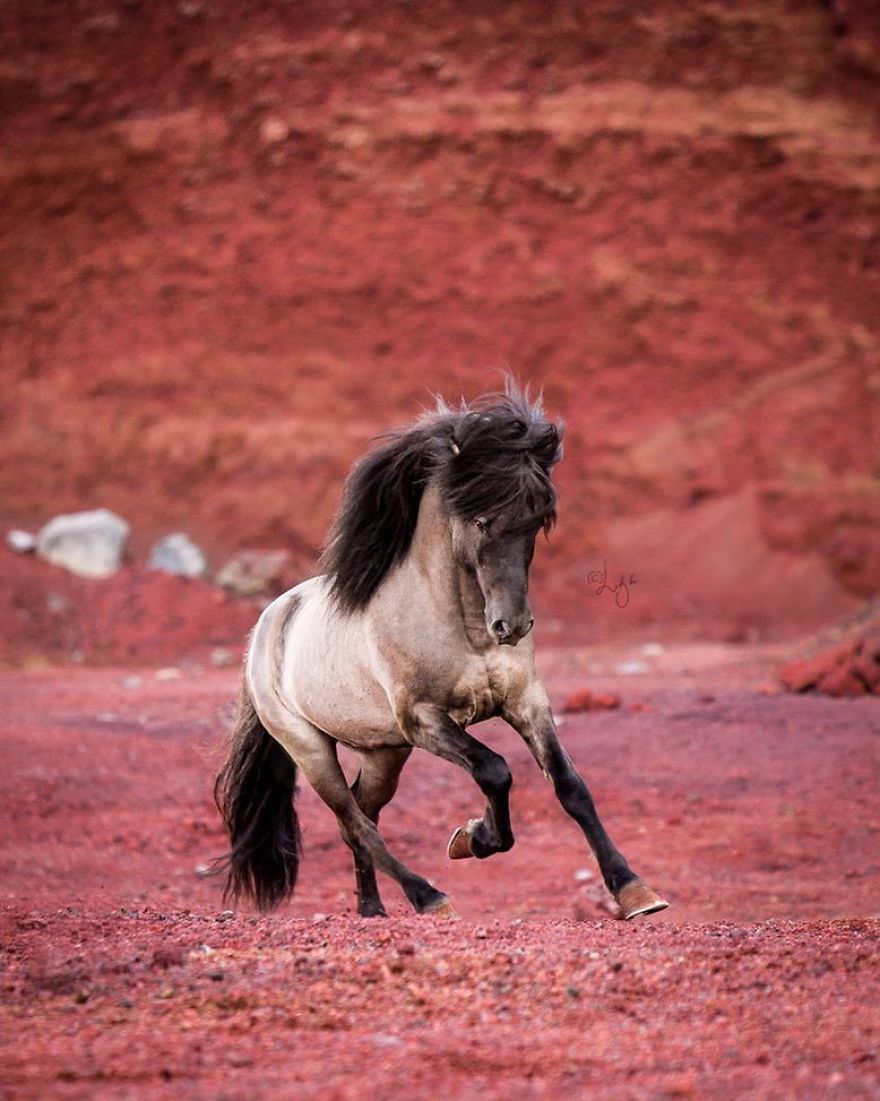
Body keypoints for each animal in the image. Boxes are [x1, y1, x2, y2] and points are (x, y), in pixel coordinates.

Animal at [215, 384, 668, 921]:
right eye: (480, 519)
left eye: (539, 520)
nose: (511, 625)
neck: (466, 627)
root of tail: (266, 626)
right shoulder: (425, 719)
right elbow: (495, 769)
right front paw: (474, 839)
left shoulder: (526, 702)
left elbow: (570, 786)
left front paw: (634, 889)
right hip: (310, 749)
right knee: (354, 822)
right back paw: (428, 896)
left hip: (384, 751)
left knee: (363, 814)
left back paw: (373, 909)